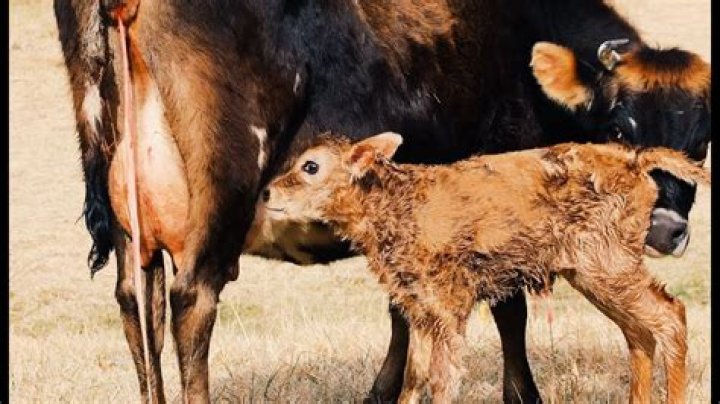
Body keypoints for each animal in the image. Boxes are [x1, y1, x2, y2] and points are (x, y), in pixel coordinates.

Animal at [53, 0, 710, 402]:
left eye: (704, 139)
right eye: (620, 128)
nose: (666, 229)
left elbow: (402, 312)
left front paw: (384, 390)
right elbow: (509, 311)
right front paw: (523, 394)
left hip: (132, 225)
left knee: (138, 304)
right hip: (221, 192)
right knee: (193, 300)